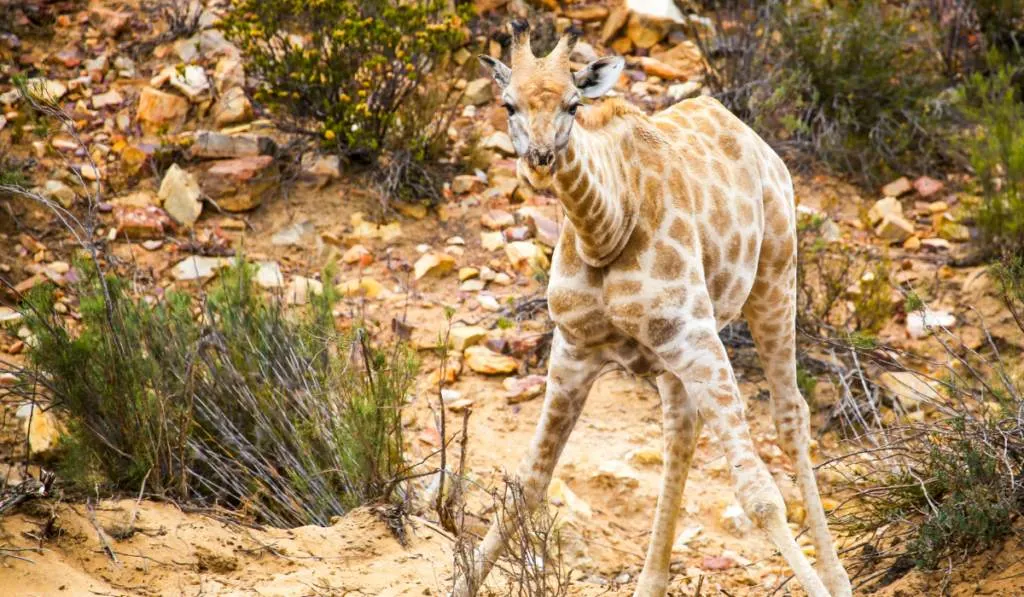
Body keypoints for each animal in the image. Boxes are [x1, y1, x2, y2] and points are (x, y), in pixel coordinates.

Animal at [458, 20, 856, 593]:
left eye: (574, 103)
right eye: (508, 104)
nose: (539, 162)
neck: (605, 231)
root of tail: (746, 129)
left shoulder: (696, 336)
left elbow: (760, 497)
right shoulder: (574, 351)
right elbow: (528, 481)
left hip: (775, 281)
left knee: (789, 417)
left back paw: (838, 578)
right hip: (674, 356)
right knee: (681, 434)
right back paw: (652, 580)